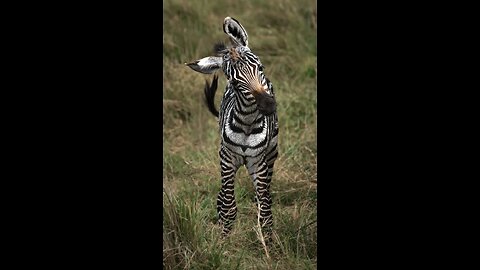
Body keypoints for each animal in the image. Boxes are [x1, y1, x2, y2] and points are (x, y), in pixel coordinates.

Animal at [186, 16, 280, 236]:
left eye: (261, 68)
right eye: (236, 83)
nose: (268, 105)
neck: (247, 124)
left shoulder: (259, 162)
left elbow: (265, 210)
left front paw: (269, 242)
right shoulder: (227, 159)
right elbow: (228, 206)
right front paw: (223, 240)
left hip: (272, 153)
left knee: (266, 194)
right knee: (223, 197)